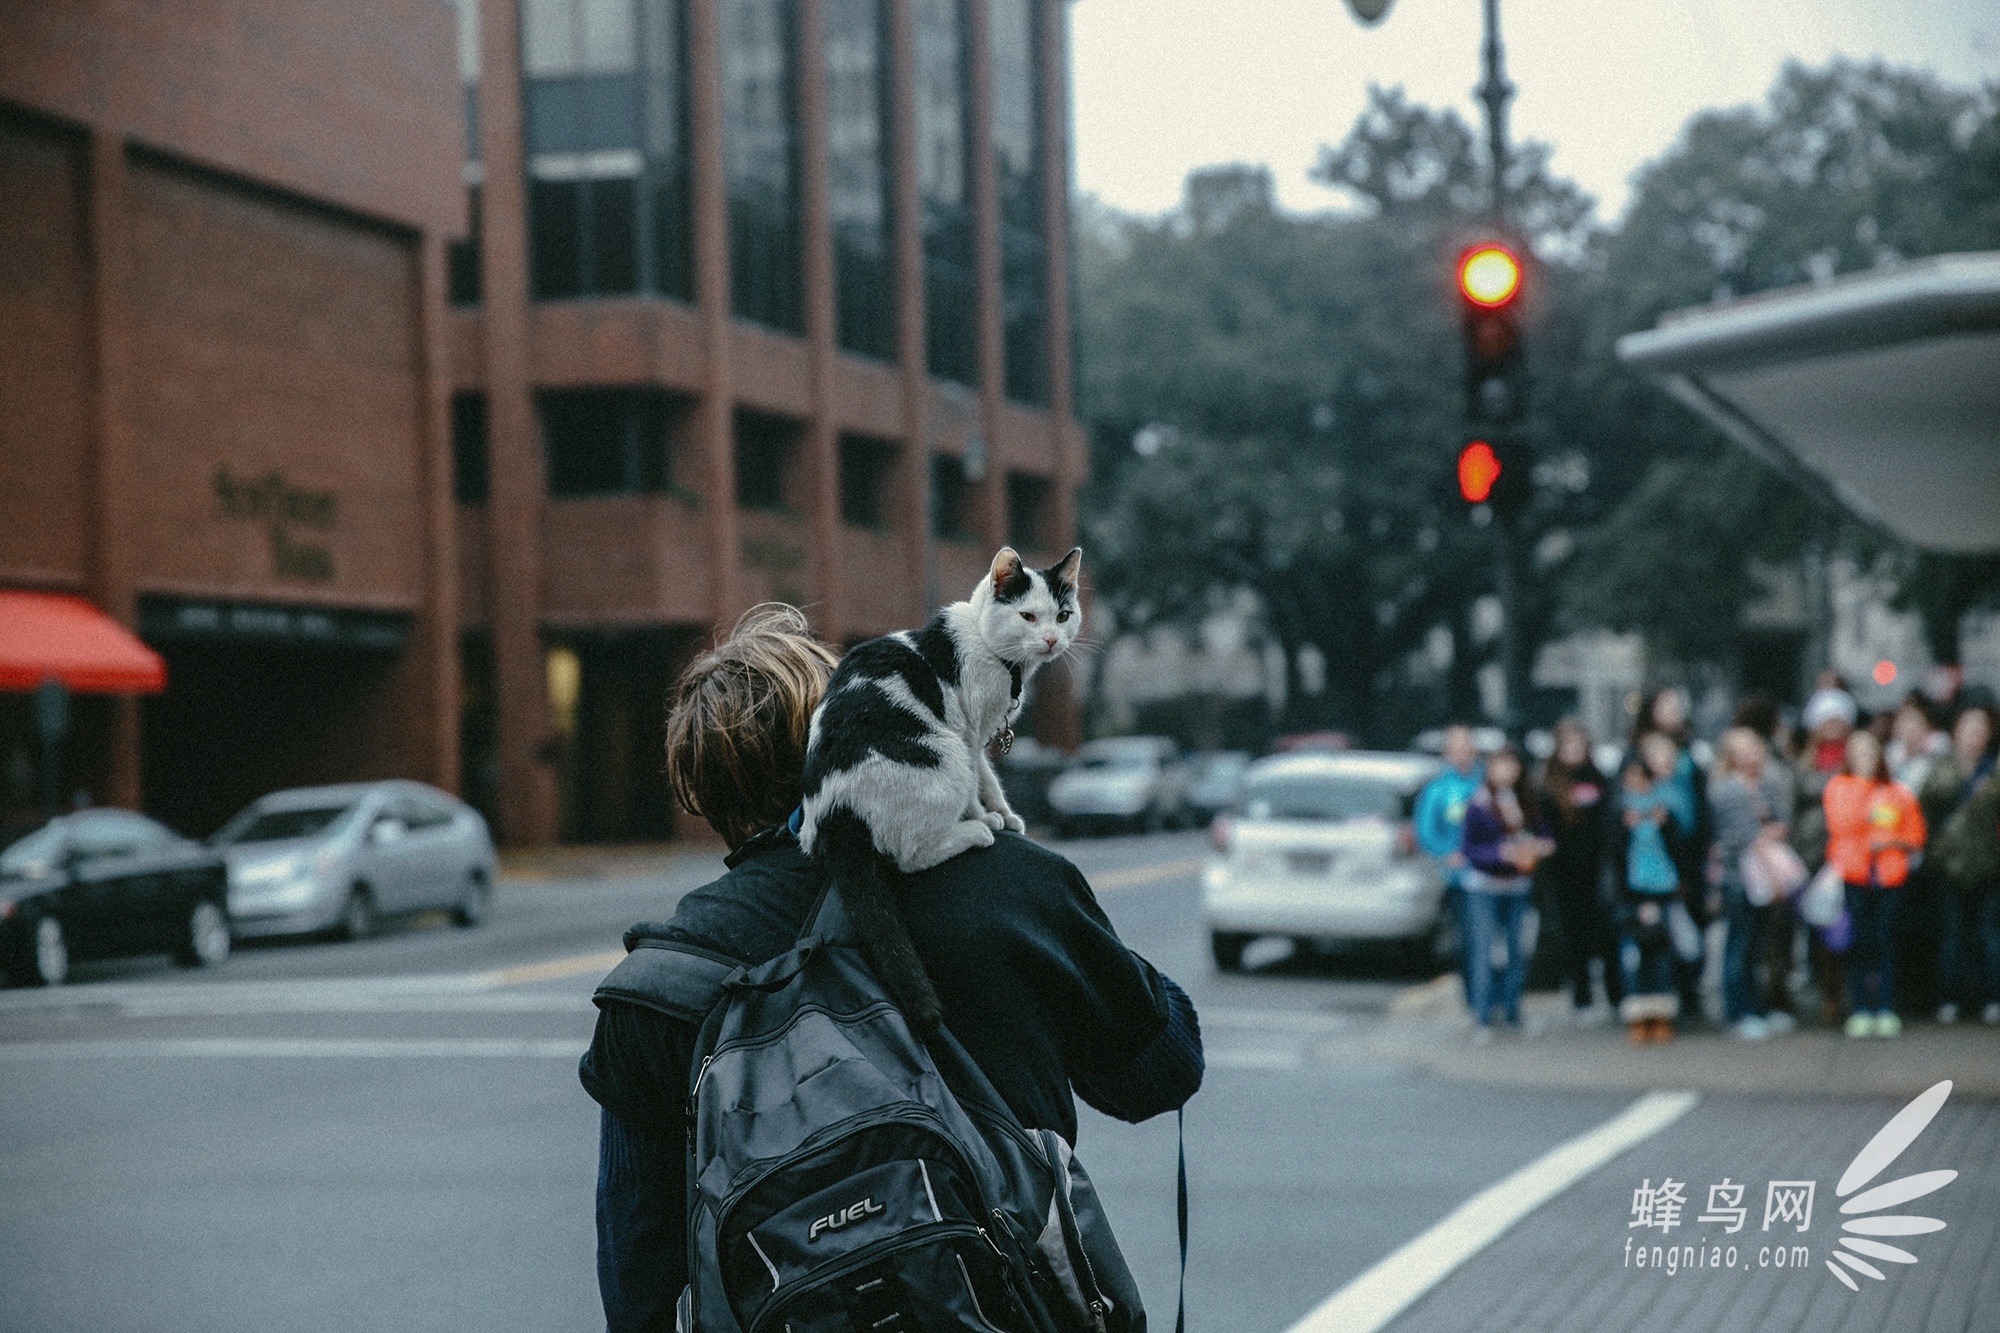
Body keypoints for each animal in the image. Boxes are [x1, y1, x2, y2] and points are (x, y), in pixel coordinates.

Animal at [800, 544, 1088, 1020]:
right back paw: (973, 831)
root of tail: (836, 810)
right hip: (944, 752)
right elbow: (976, 781)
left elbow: (989, 777)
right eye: (1028, 616)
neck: (992, 650)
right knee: (910, 855)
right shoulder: (968, 732)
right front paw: (987, 818)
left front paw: (1005, 813)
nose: (1051, 640)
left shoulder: (984, 733)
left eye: (1063, 616)